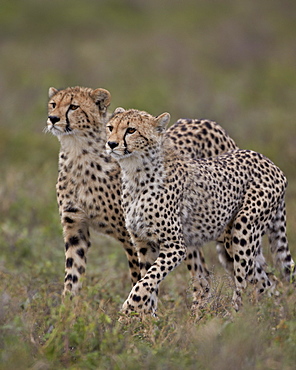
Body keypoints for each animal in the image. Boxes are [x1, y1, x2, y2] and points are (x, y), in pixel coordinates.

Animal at [106, 107, 294, 316]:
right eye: (110, 127)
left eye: (131, 130)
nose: (111, 144)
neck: (135, 174)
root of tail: (269, 161)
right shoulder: (144, 244)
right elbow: (148, 284)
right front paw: (146, 320)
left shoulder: (175, 246)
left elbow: (145, 282)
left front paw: (127, 312)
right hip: (232, 243)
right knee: (265, 280)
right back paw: (272, 314)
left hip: (242, 229)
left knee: (244, 281)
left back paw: (234, 316)